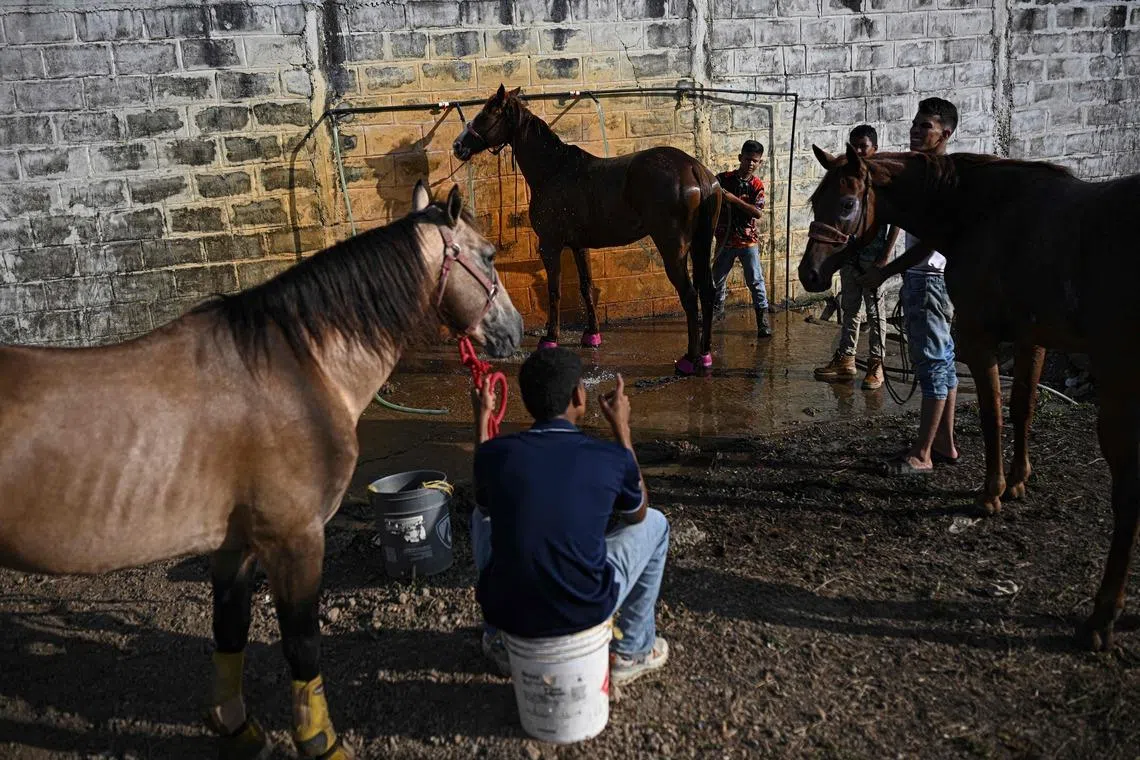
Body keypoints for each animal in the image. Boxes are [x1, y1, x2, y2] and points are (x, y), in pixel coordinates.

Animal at [0, 182, 522, 758]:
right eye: (489, 256)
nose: (516, 331)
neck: (299, 371)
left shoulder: (235, 545)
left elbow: (230, 629)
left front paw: (236, 728)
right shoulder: (295, 539)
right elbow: (302, 644)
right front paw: (321, 743)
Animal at [452, 84, 723, 375]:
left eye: (486, 113)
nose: (458, 145)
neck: (553, 170)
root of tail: (694, 169)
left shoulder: (550, 245)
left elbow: (555, 291)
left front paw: (550, 338)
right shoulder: (578, 245)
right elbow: (586, 287)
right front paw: (592, 335)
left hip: (673, 250)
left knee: (690, 295)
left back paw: (689, 359)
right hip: (700, 244)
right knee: (707, 292)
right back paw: (705, 355)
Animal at [798, 143, 1140, 651]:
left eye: (845, 204)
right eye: (816, 202)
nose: (810, 273)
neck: (977, 213)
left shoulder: (980, 337)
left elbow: (991, 413)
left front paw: (990, 494)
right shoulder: (1032, 337)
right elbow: (1022, 408)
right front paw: (1017, 481)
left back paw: (1101, 618)